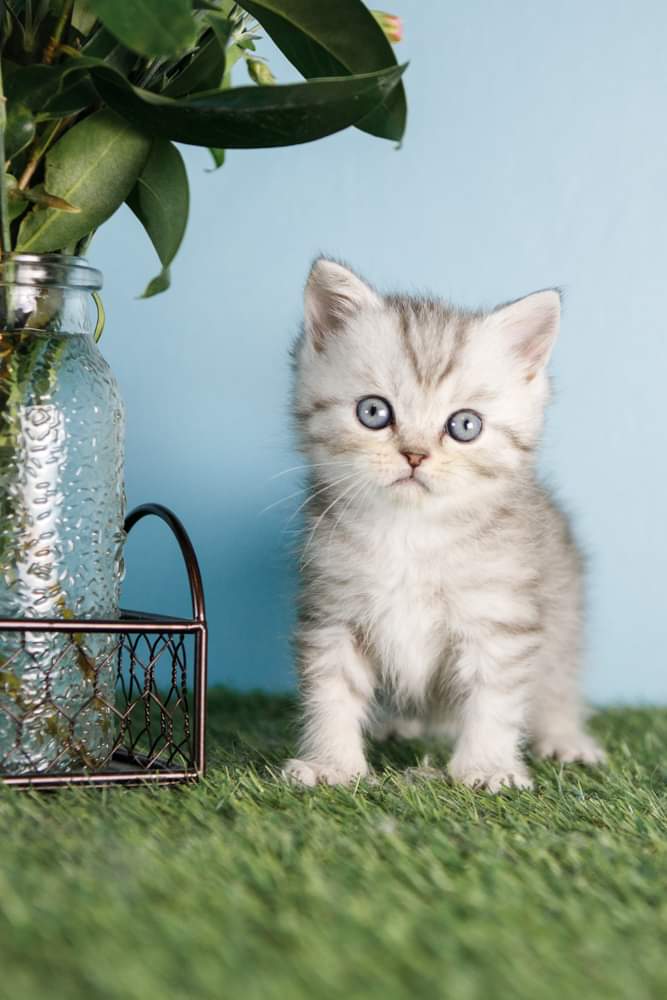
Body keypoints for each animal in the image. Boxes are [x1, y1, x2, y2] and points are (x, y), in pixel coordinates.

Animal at [284, 262, 608, 792]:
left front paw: (487, 767)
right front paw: (332, 763)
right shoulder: (333, 610)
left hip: (565, 614)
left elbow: (494, 697)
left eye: (465, 426)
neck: (412, 534)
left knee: (558, 678)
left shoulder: (500, 618)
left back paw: (564, 736)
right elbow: (332, 690)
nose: (415, 455)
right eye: (373, 412)